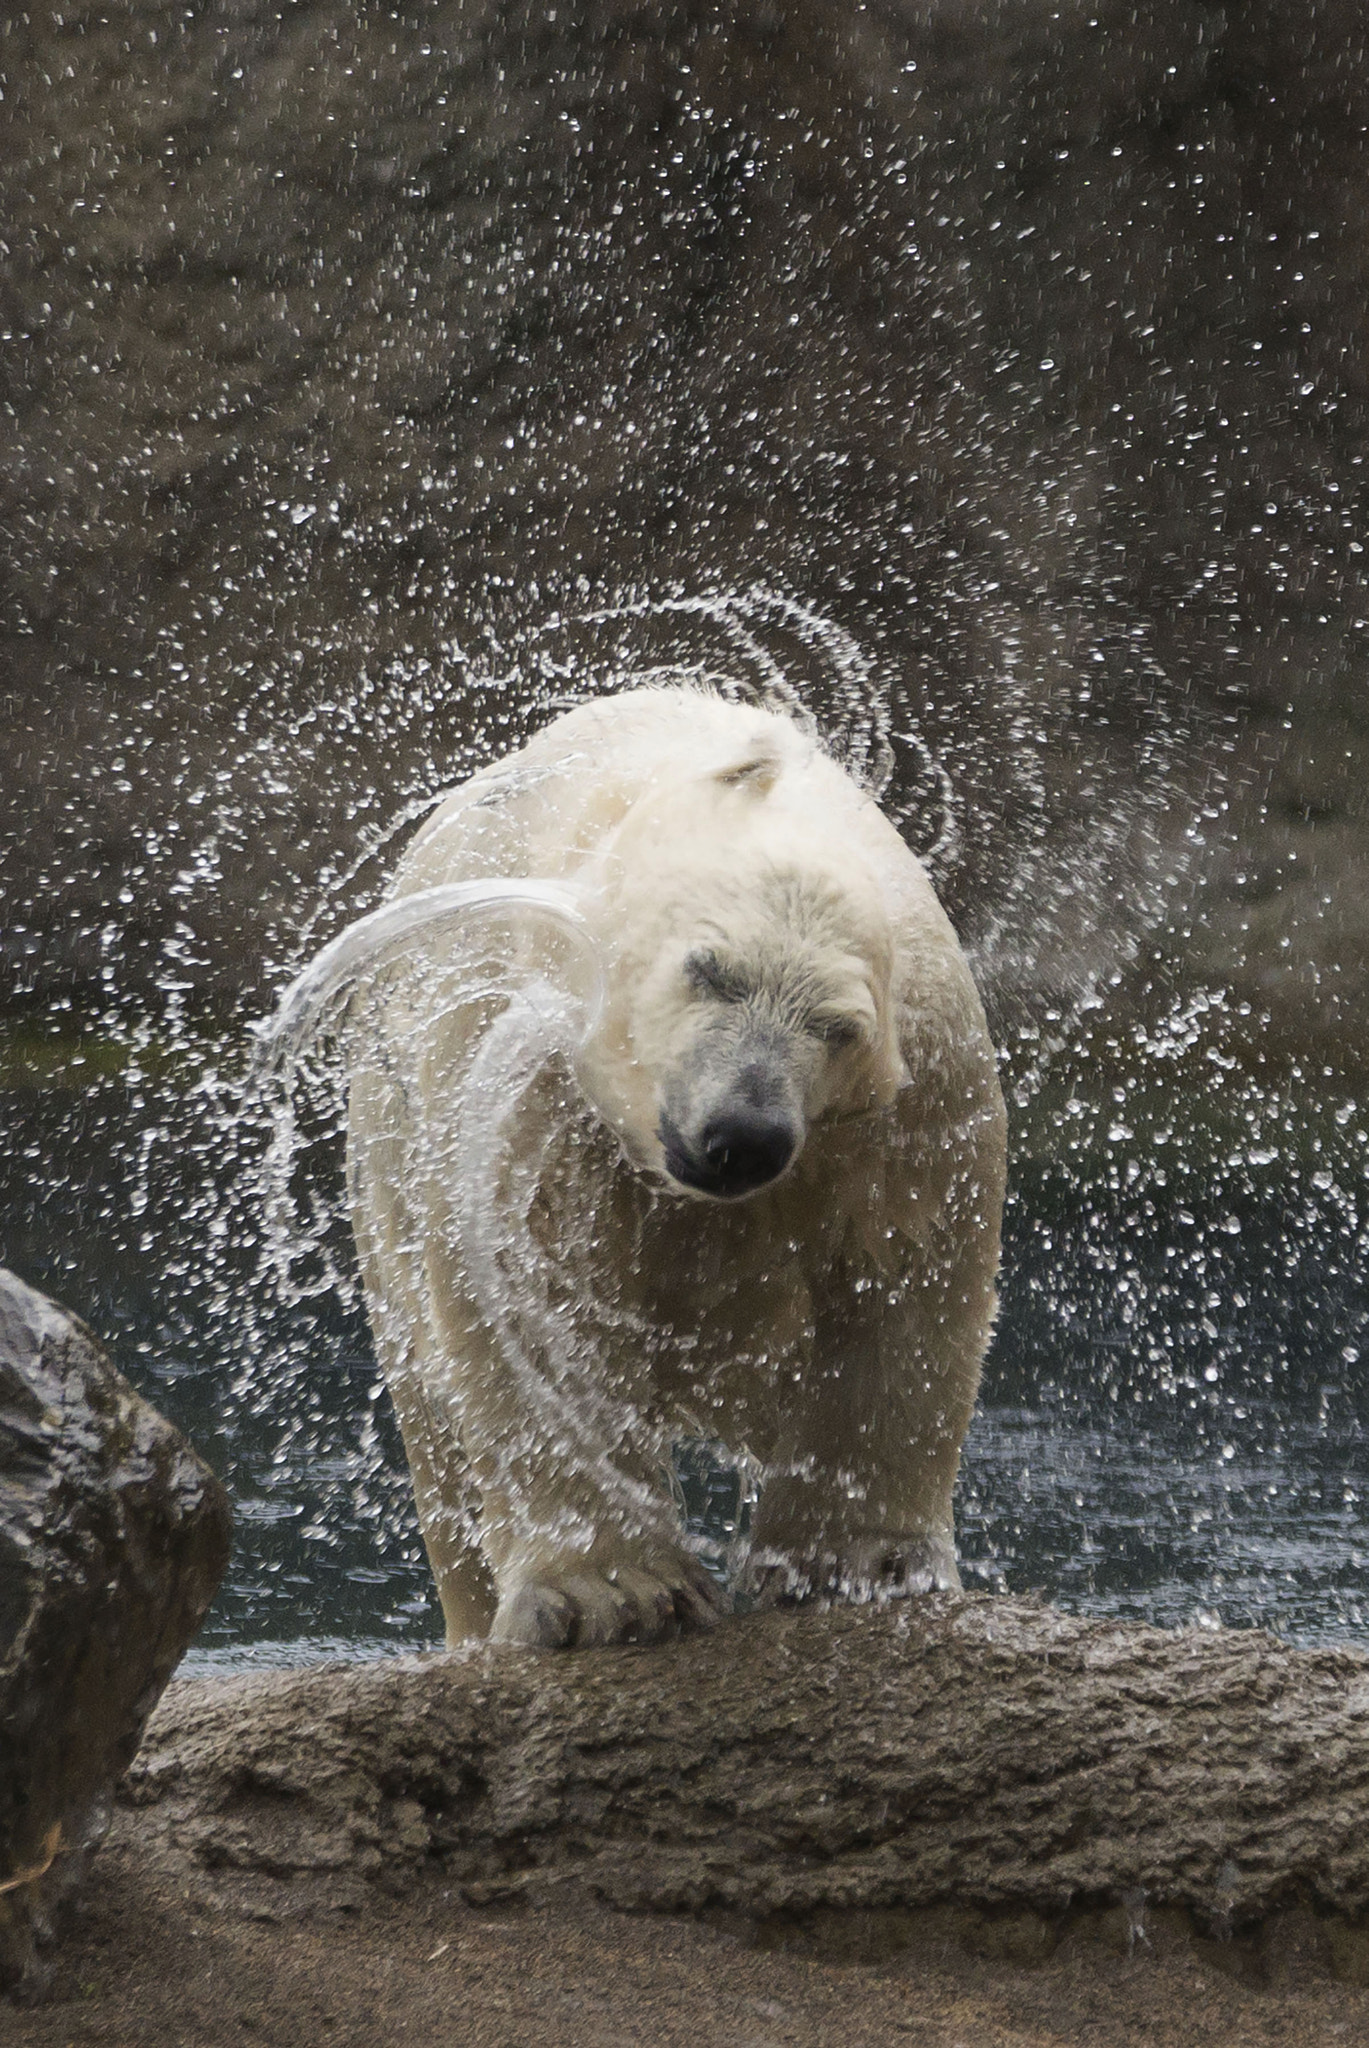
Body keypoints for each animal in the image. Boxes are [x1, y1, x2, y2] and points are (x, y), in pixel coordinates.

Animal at [345, 685, 1007, 1648]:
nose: (743, 1133)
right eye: (709, 971)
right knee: (432, 1422)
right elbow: (527, 1291)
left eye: (837, 1028)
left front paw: (857, 1567)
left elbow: (907, 1279)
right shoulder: (522, 1074)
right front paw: (612, 1596)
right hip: (383, 1151)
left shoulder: (916, 1080)